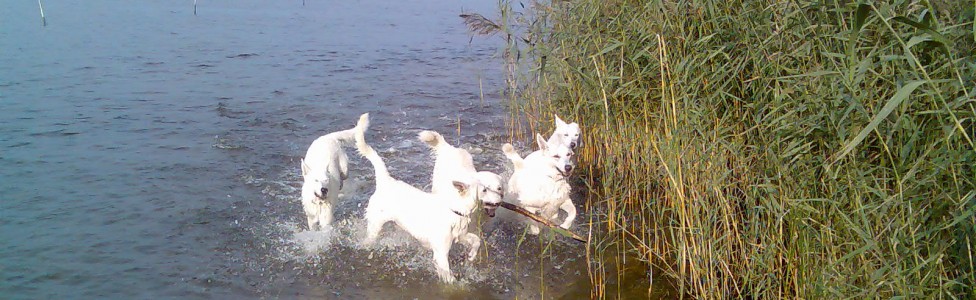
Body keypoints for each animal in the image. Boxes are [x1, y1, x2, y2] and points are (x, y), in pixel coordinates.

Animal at [356, 113, 482, 282]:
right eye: (485, 188)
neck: (454, 210)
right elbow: (449, 276)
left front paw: (471, 256)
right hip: (375, 226)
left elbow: (476, 240)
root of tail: (385, 180)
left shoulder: (461, 237)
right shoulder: (441, 253)